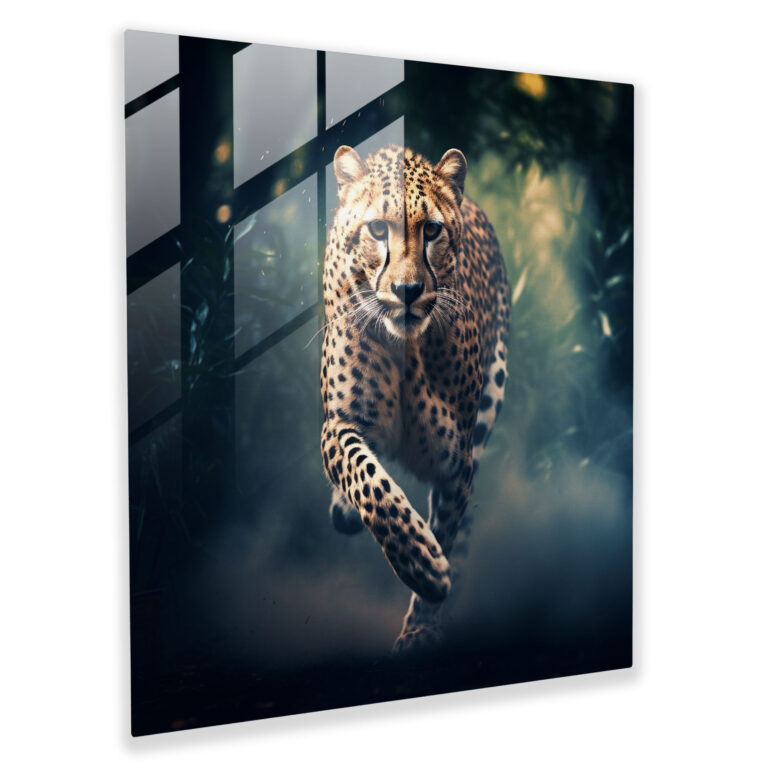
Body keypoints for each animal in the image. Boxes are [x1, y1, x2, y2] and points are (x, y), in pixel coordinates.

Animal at [320, 143, 509, 653]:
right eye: (377, 230)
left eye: (431, 231)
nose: (407, 291)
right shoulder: (339, 424)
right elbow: (371, 484)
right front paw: (422, 564)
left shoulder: (455, 460)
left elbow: (448, 524)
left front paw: (422, 625)